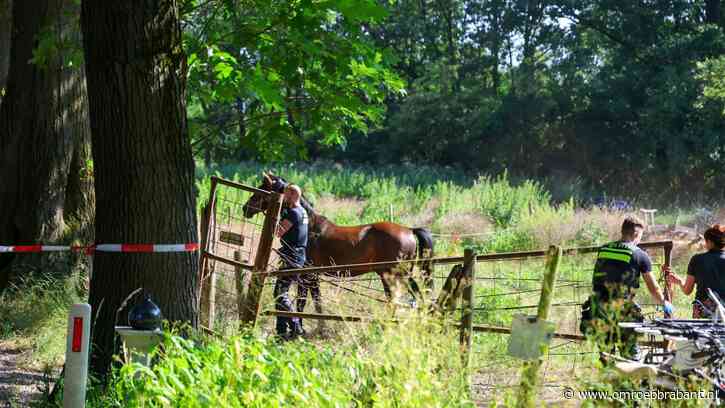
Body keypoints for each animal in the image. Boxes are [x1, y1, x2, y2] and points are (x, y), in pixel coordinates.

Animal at [241, 172, 435, 313]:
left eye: (262, 189)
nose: (245, 208)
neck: (310, 227)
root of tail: (409, 230)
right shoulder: (313, 275)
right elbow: (317, 302)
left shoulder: (306, 275)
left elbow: (303, 302)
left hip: (393, 276)